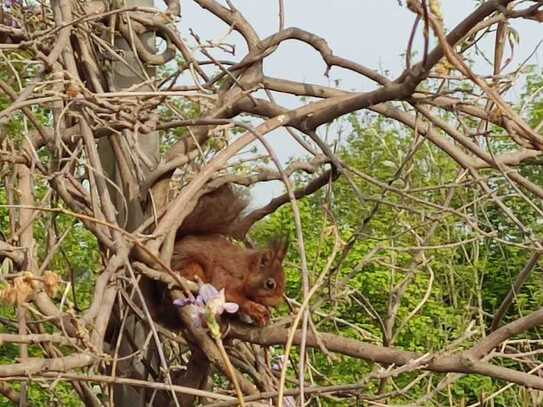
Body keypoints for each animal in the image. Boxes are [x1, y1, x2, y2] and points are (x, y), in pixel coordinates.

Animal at [172, 186, 286, 326]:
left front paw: (264, 315)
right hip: (189, 265)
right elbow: (229, 293)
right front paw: (255, 308)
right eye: (270, 284)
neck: (247, 270)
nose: (277, 304)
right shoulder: (227, 275)